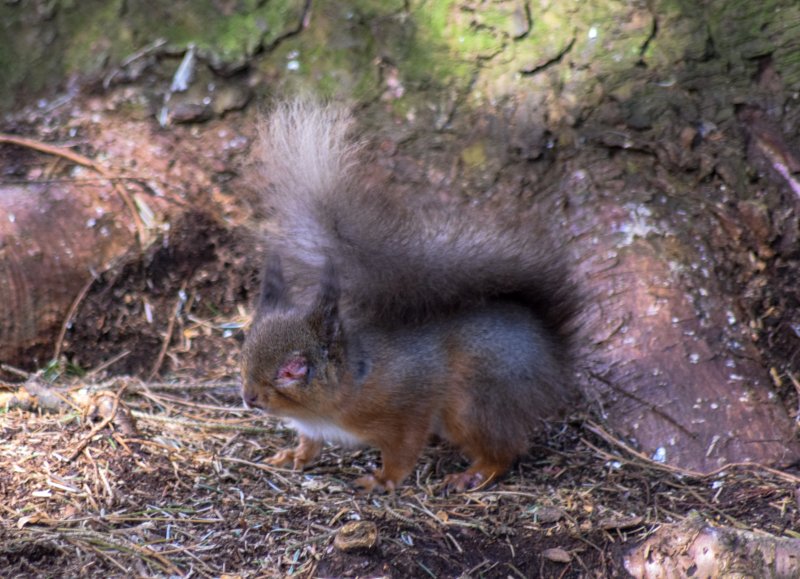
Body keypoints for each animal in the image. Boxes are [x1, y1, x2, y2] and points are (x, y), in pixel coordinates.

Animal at [239, 101, 576, 494]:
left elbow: (402, 450)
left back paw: (473, 474)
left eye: (294, 369)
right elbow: (310, 443)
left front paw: (382, 480)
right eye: (243, 352)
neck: (349, 382)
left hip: (475, 402)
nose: (249, 397)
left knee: (504, 451)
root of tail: (553, 349)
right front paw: (294, 455)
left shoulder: (405, 410)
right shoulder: (313, 427)